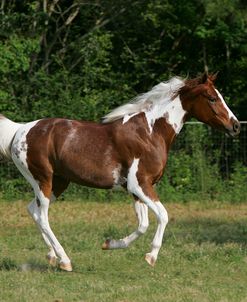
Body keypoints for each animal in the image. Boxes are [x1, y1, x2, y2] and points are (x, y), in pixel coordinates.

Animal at [0, 72, 239, 272]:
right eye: (211, 98)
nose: (235, 126)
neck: (150, 132)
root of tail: (20, 130)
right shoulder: (139, 184)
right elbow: (163, 215)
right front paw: (151, 256)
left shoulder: (136, 189)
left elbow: (143, 225)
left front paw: (109, 244)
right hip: (43, 179)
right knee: (42, 216)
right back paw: (65, 260)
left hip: (59, 183)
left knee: (33, 210)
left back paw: (52, 256)